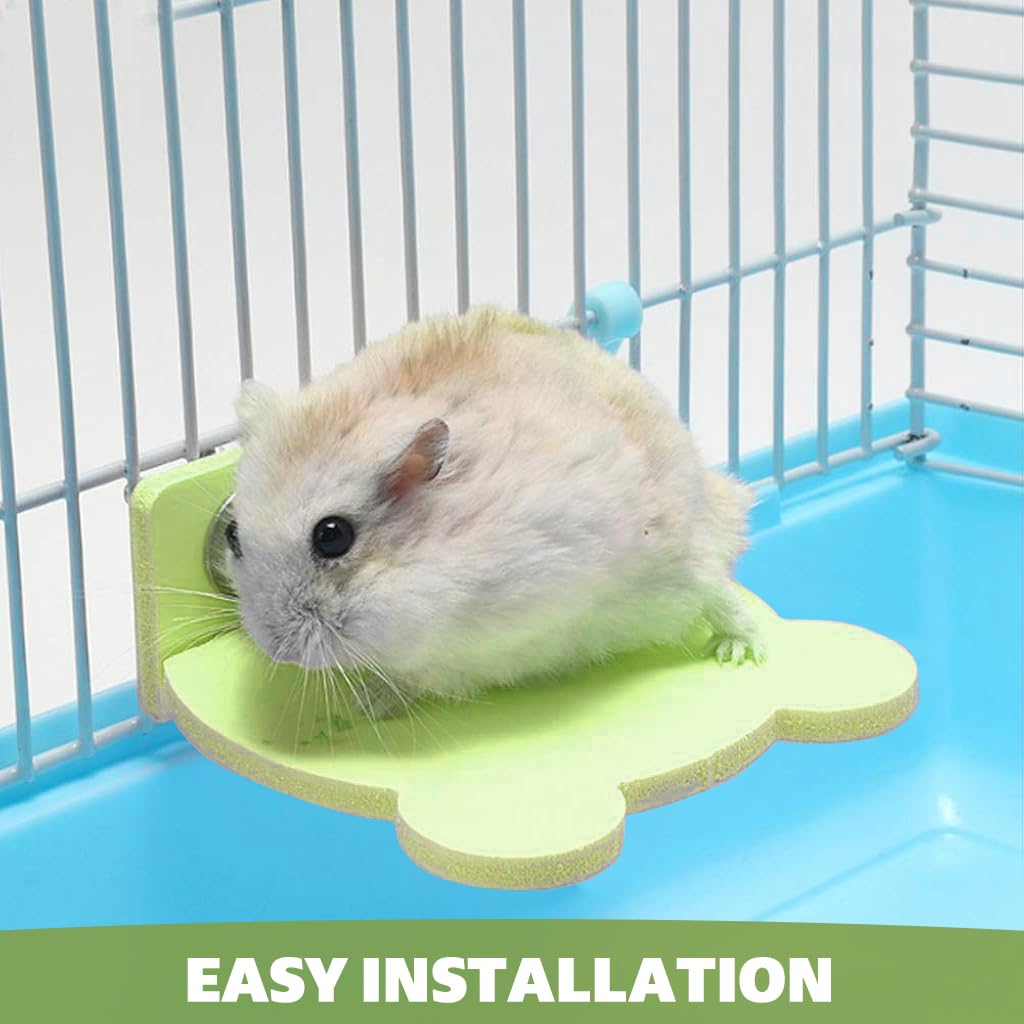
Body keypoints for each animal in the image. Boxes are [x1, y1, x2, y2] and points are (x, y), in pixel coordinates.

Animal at [228, 308, 763, 719]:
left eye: (332, 535)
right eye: (232, 535)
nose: (275, 650)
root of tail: (720, 496)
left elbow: (423, 675)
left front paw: (361, 705)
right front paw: (358, 707)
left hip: (679, 559)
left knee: (722, 594)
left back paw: (740, 655)